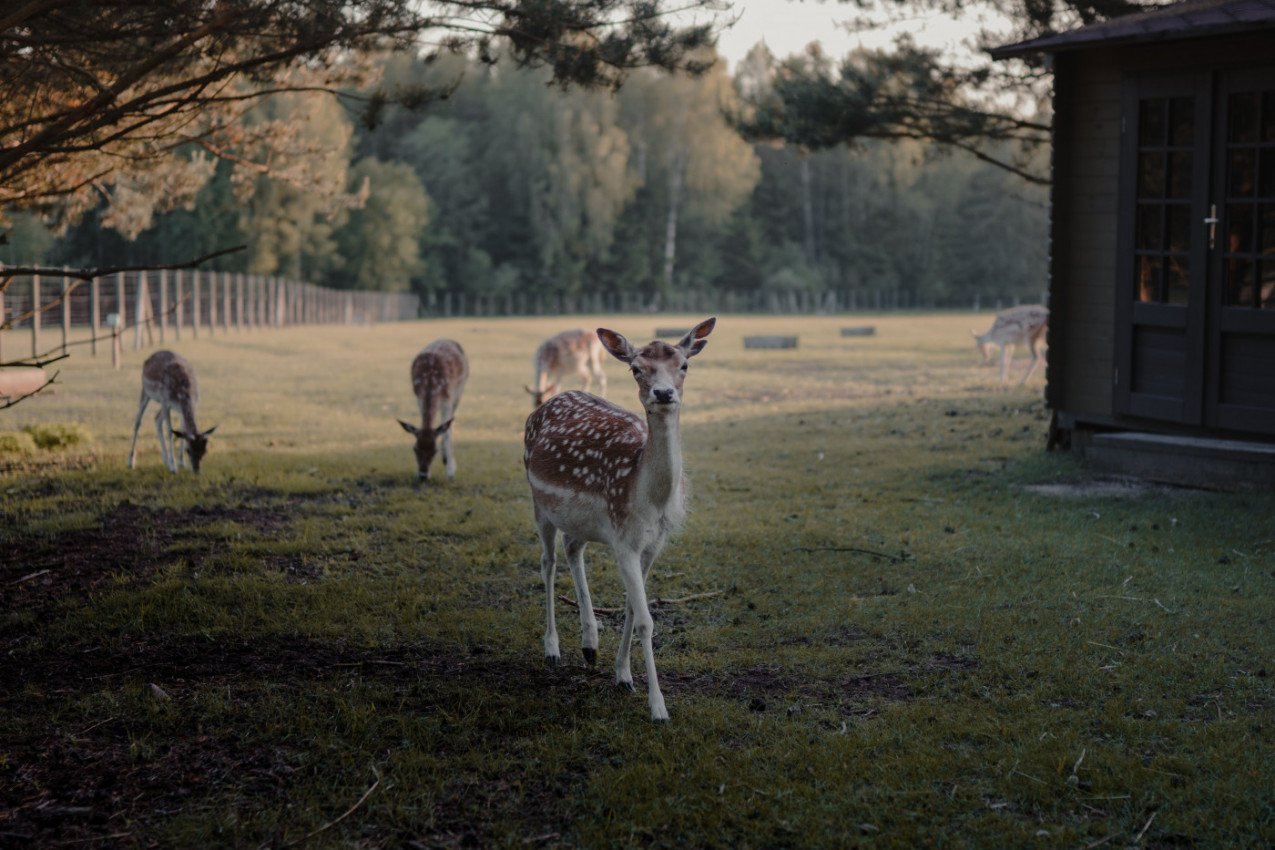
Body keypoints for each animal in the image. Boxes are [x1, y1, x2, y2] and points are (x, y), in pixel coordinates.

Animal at [395, 341, 471, 484]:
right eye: (415, 449)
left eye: (434, 451)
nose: (423, 475)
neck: (430, 381)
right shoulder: (419, 397)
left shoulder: (447, 398)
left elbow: (447, 432)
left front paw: (450, 472)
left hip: (460, 390)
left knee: (450, 425)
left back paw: (449, 461)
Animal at [520, 316, 719, 723]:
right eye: (636, 368)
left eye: (684, 365)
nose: (663, 393)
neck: (649, 499)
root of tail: (543, 405)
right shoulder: (623, 540)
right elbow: (645, 619)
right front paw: (658, 707)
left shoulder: (654, 542)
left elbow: (631, 607)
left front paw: (623, 675)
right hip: (538, 501)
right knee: (547, 561)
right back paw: (553, 648)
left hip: (580, 522)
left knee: (572, 548)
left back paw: (589, 644)